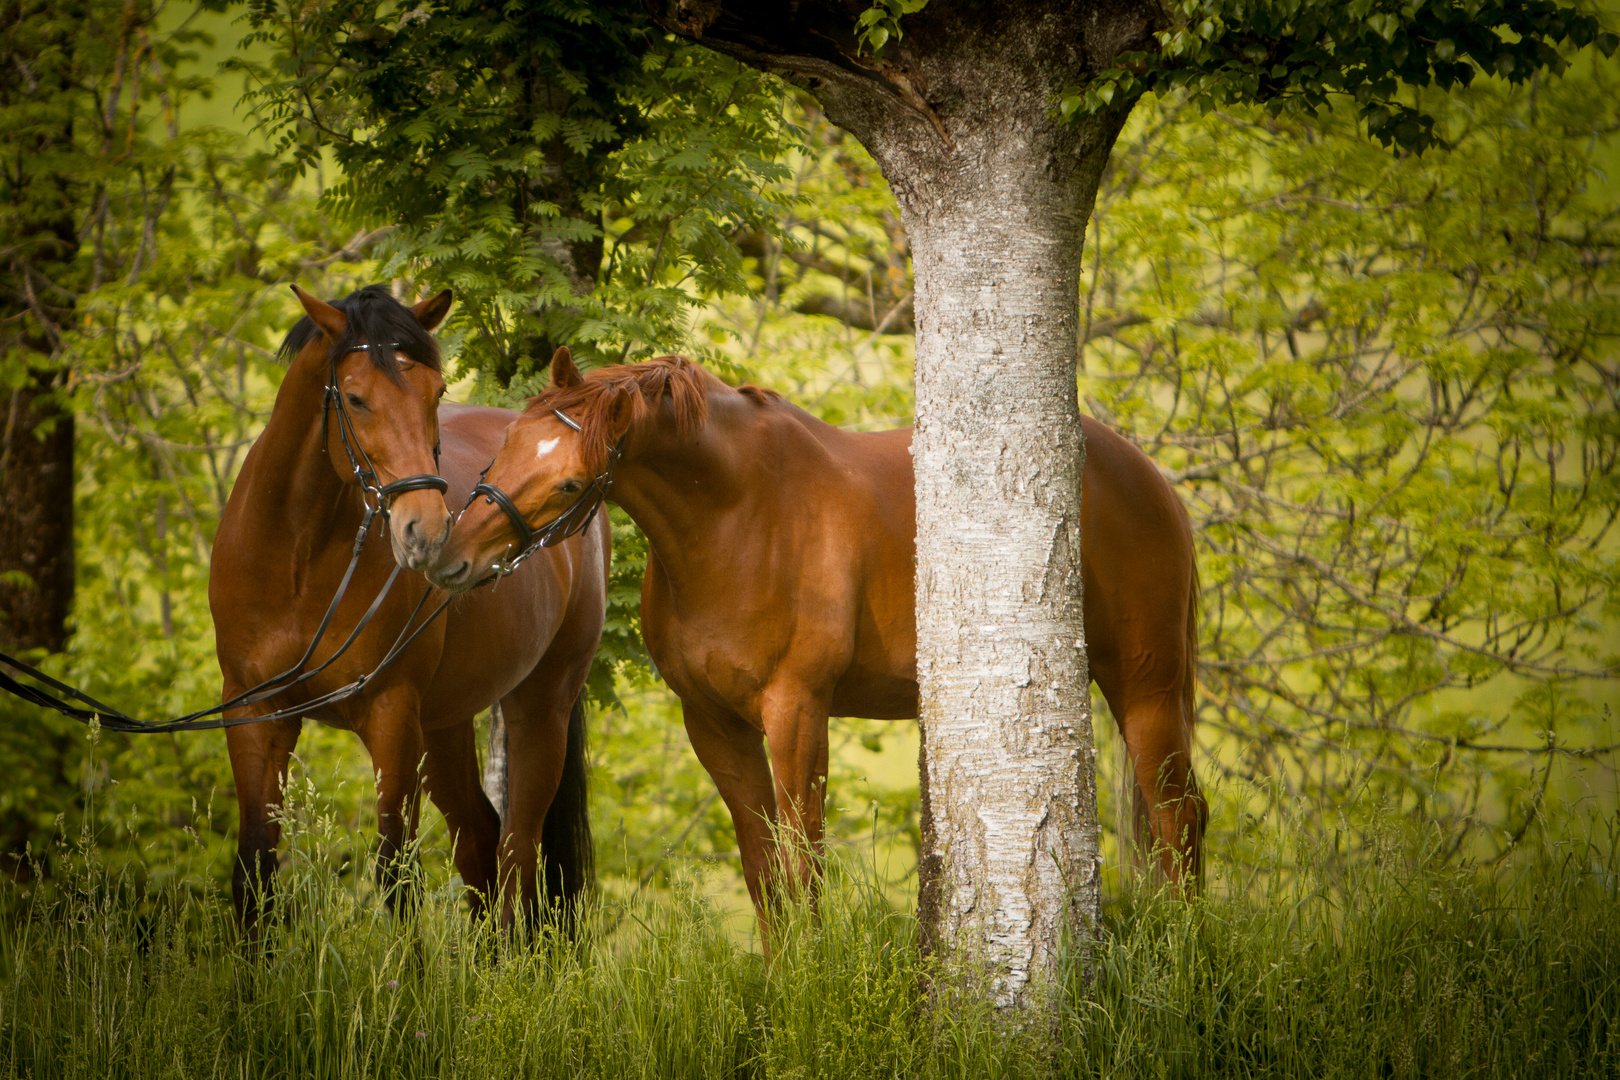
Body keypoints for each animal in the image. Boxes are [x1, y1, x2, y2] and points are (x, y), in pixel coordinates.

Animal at [205, 286, 605, 939]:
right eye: (356, 397)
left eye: (436, 392)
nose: (428, 530)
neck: (296, 557)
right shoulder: (255, 711)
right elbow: (255, 867)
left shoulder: (391, 716)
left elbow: (396, 873)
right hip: (443, 726)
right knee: (480, 839)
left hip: (538, 707)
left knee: (518, 851)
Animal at [430, 351, 1205, 926]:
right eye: (505, 445)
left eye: (568, 484)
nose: (450, 560)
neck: (740, 516)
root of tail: (1145, 476)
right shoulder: (713, 723)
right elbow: (763, 871)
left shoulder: (797, 711)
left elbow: (804, 862)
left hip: (1145, 685)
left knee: (1177, 815)